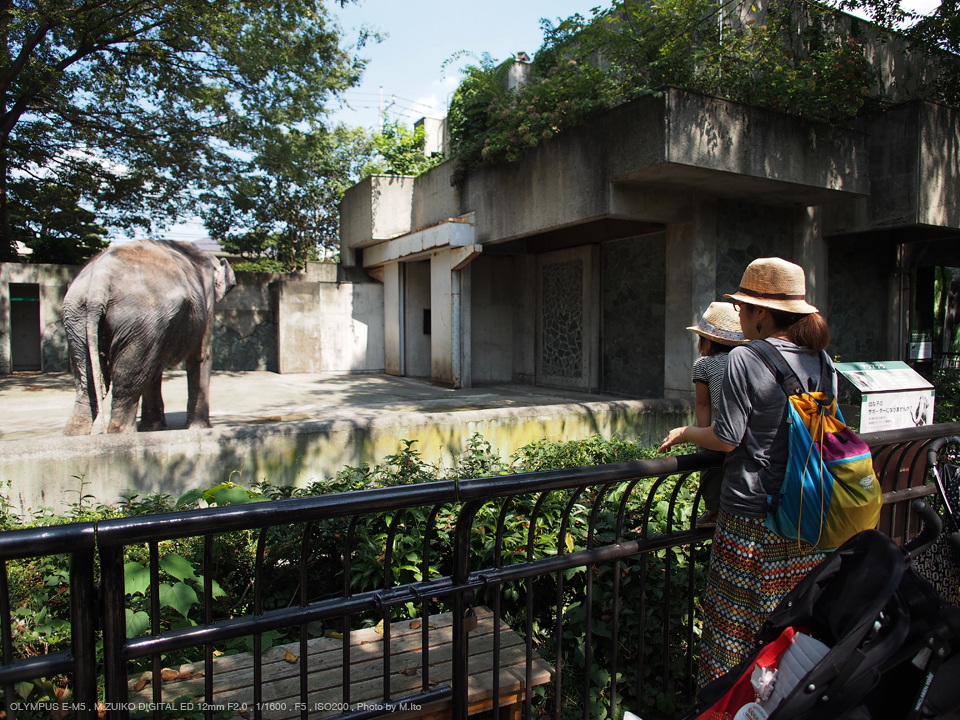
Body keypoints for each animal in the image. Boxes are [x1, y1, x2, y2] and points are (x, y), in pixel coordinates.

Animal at [64, 240, 236, 434]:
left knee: (89, 378)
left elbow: (155, 369)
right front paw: (198, 428)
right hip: (140, 316)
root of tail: (100, 281)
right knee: (128, 375)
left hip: (79, 316)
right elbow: (200, 357)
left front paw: (153, 428)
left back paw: (75, 434)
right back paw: (122, 434)